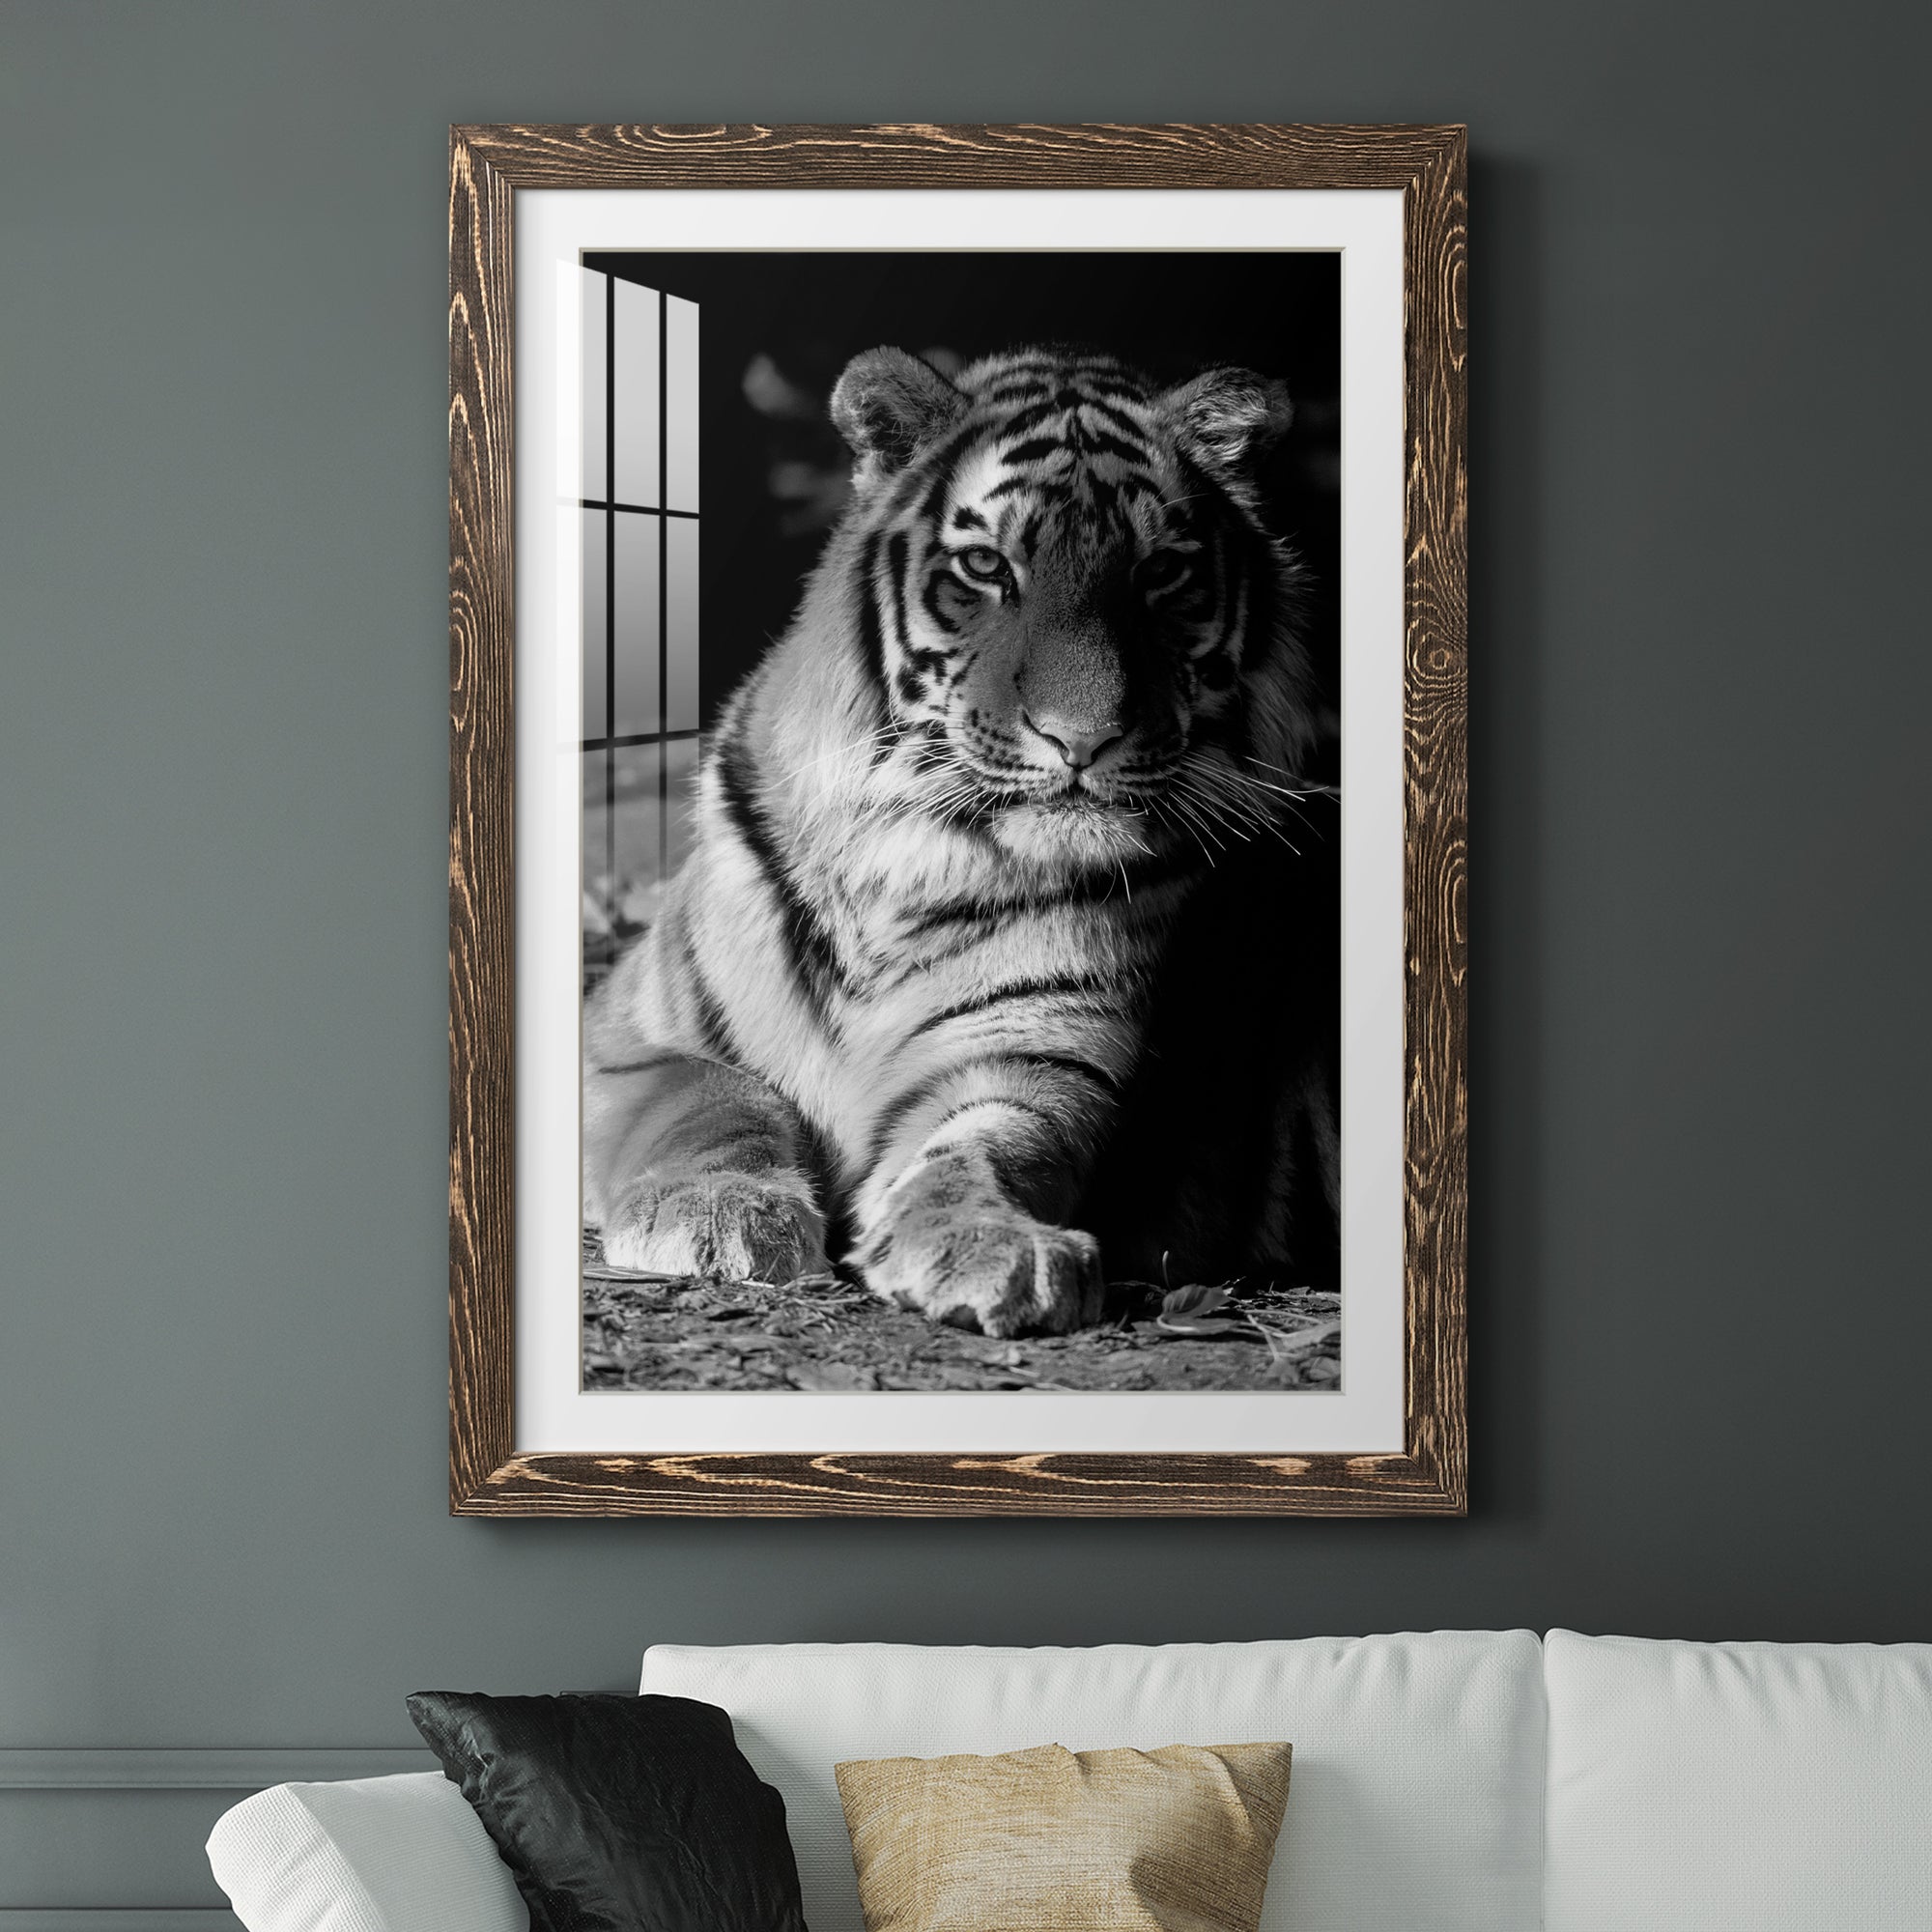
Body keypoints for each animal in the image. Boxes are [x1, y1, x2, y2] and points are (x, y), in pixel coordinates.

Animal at [582, 343, 1338, 1339]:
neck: (907, 860)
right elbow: (714, 1099)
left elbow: (986, 1147)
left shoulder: (1033, 1057)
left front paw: (993, 1245)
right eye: (986, 566)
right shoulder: (627, 1033)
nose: (1083, 739)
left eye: (1160, 574)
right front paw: (717, 1214)